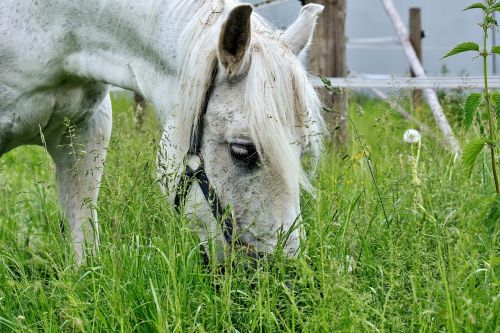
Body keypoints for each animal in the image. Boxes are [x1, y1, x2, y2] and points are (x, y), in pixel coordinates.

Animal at [0, 0, 324, 262]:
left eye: (301, 151)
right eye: (242, 150)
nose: (280, 269)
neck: (57, 31)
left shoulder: (85, 130)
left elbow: (84, 241)